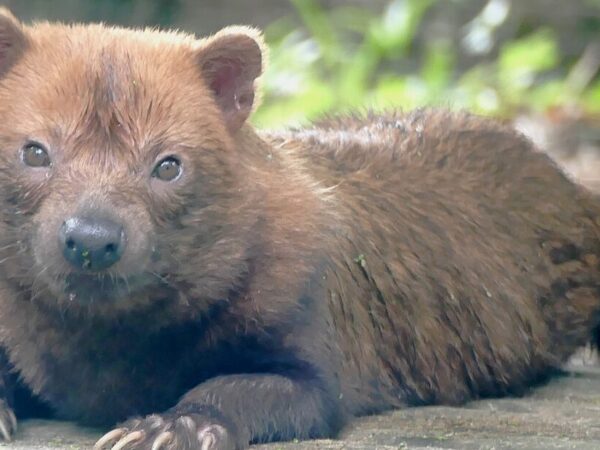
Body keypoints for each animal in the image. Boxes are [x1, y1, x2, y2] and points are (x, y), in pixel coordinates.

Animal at [0, 6, 600, 450]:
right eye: (35, 151)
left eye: (168, 164)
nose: (92, 238)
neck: (103, 357)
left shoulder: (309, 349)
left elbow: (234, 388)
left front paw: (166, 426)